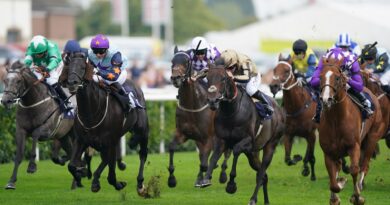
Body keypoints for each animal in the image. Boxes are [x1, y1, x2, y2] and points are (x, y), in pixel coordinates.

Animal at [0, 60, 73, 189]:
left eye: (18, 81)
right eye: (4, 80)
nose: (5, 101)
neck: (32, 102)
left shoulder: (48, 129)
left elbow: (35, 134)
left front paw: (32, 166)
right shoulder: (20, 130)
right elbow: (19, 155)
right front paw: (11, 181)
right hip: (64, 135)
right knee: (70, 152)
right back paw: (63, 161)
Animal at [64, 51, 149, 194]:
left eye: (82, 67)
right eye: (69, 67)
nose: (72, 83)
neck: (91, 113)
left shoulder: (111, 141)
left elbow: (111, 175)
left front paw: (118, 184)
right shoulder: (81, 140)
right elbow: (71, 165)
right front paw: (83, 174)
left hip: (142, 131)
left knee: (142, 154)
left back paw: (140, 183)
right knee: (106, 159)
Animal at [168, 47, 230, 188]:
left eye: (186, 62)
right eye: (172, 62)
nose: (175, 78)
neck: (192, 106)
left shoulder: (208, 138)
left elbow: (204, 163)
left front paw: (205, 179)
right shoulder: (183, 134)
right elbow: (172, 147)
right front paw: (172, 179)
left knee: (225, 153)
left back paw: (222, 174)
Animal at [318, 56, 386, 205]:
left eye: (337, 78)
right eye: (320, 77)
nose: (326, 99)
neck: (336, 119)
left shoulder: (353, 146)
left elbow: (354, 169)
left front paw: (357, 197)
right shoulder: (328, 151)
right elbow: (333, 180)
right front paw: (338, 189)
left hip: (372, 138)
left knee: (364, 165)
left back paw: (360, 186)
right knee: (339, 167)